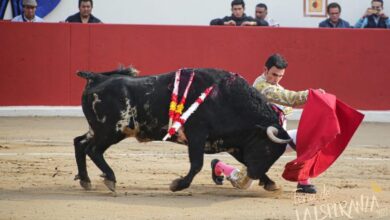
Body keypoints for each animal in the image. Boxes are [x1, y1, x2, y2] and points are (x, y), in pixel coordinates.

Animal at [73, 67, 290, 192]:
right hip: (111, 130)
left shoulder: (233, 144)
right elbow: (197, 164)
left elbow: (242, 159)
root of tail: (96, 77)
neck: (226, 99)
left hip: (99, 130)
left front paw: (269, 182)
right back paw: (110, 179)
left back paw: (85, 180)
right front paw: (177, 185)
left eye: (276, 155)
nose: (252, 175)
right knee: (93, 149)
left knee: (79, 143)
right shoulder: (197, 136)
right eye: (267, 148)